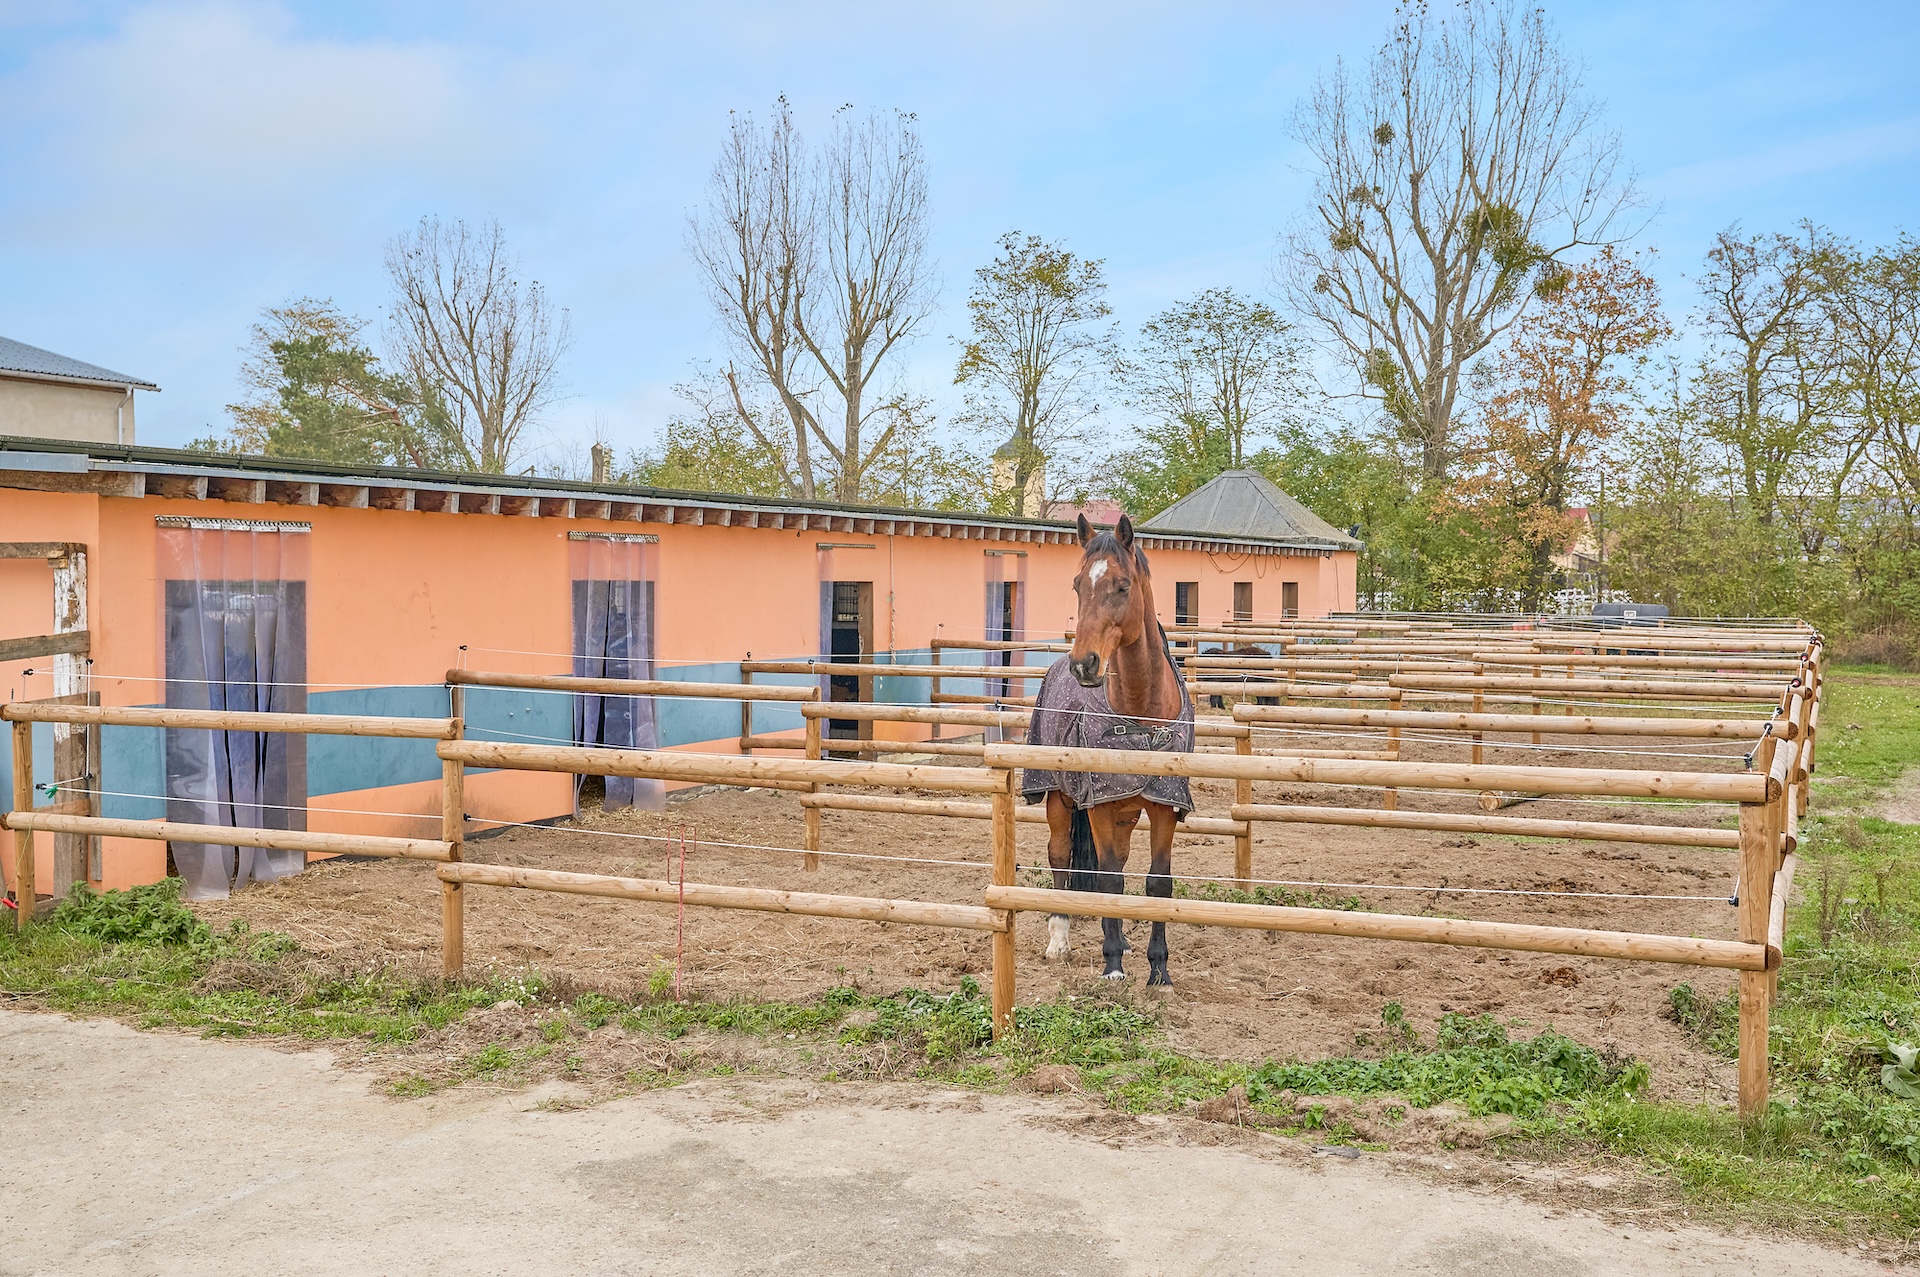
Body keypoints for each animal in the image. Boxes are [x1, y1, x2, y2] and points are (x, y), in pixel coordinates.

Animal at [1020, 513, 1195, 985]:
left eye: (1122, 585)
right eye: (1078, 584)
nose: (1085, 664)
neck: (1141, 716)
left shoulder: (1162, 804)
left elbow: (1157, 883)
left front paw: (1159, 970)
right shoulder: (1097, 802)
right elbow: (1109, 879)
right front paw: (1113, 965)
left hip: (1126, 810)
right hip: (1060, 798)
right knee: (1062, 857)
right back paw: (1060, 939)